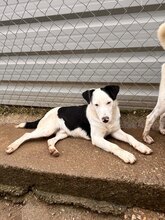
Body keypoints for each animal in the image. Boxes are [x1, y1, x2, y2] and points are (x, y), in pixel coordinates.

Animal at [6, 85, 152, 163]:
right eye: (96, 105)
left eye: (109, 102)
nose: (105, 119)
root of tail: (48, 112)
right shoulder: (97, 138)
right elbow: (114, 146)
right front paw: (126, 155)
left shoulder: (116, 131)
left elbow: (131, 138)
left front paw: (142, 147)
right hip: (46, 129)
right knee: (26, 135)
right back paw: (12, 147)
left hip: (63, 133)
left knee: (50, 140)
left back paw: (53, 150)